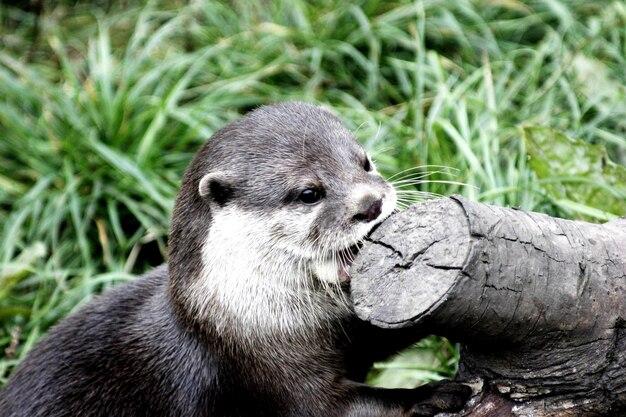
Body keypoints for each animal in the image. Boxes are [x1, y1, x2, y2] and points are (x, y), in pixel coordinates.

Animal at [0, 101, 468, 416]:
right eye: (308, 193)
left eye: (365, 162)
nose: (371, 203)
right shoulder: (268, 373)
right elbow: (335, 407)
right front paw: (433, 393)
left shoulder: (352, 333)